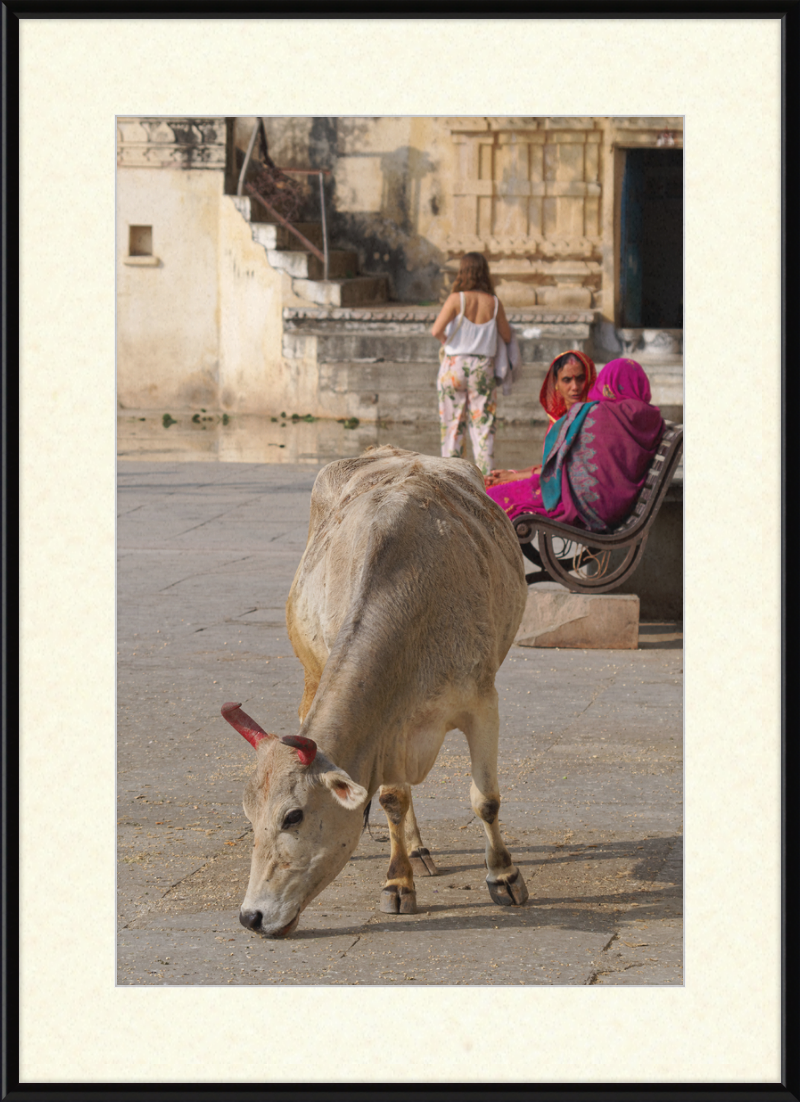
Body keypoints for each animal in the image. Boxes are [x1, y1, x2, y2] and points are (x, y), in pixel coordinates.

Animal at [222, 445, 528, 938]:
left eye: (293, 815)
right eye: (249, 816)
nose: (251, 917)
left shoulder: (483, 703)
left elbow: (486, 800)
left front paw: (504, 875)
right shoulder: (386, 725)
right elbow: (391, 799)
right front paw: (397, 883)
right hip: (313, 672)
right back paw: (414, 852)